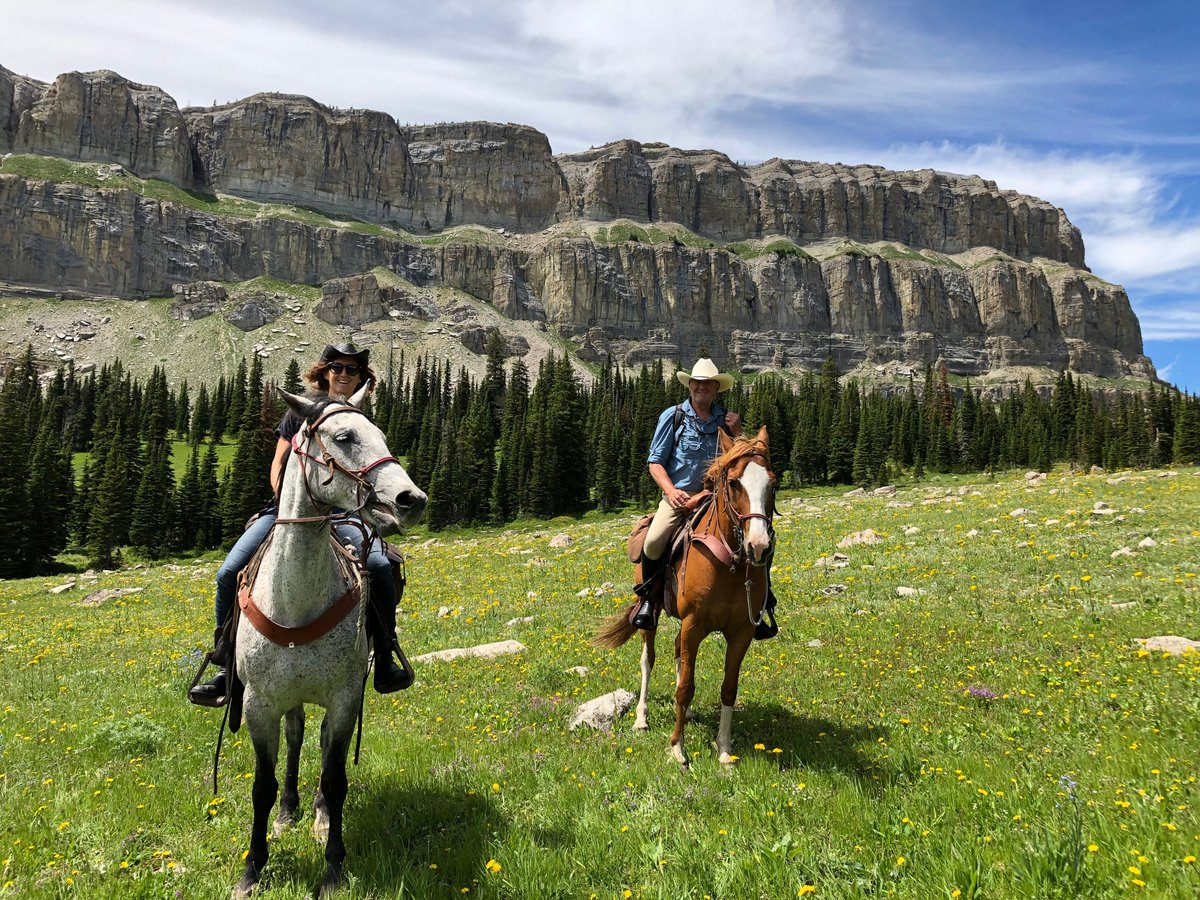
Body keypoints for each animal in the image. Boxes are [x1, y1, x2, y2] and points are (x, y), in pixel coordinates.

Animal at [231, 388, 424, 900]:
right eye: (344, 437)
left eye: (382, 434)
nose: (411, 499)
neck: (295, 600)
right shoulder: (259, 704)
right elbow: (262, 786)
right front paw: (252, 868)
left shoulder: (343, 698)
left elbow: (336, 780)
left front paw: (333, 866)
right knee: (296, 737)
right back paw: (289, 813)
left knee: (315, 743)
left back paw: (316, 815)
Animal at [592, 427, 777, 763]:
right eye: (734, 483)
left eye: (773, 482)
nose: (758, 546)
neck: (730, 563)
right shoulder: (694, 624)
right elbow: (685, 688)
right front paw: (678, 748)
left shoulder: (742, 631)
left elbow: (728, 687)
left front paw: (724, 750)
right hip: (650, 614)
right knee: (648, 659)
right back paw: (641, 718)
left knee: (678, 651)